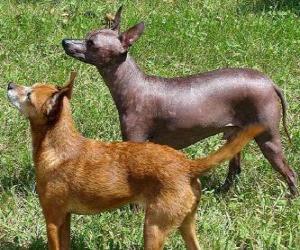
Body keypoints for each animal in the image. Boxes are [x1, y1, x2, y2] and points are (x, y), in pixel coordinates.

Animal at [7, 71, 264, 249]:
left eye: (28, 95)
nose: (9, 84)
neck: (59, 148)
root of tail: (188, 166)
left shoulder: (52, 219)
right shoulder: (65, 219)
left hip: (153, 228)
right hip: (185, 225)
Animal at [61, 5, 298, 195]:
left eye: (91, 43)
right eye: (88, 35)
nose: (64, 41)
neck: (133, 84)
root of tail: (269, 82)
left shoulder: (136, 140)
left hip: (268, 139)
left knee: (290, 174)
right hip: (236, 136)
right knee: (235, 169)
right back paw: (223, 192)